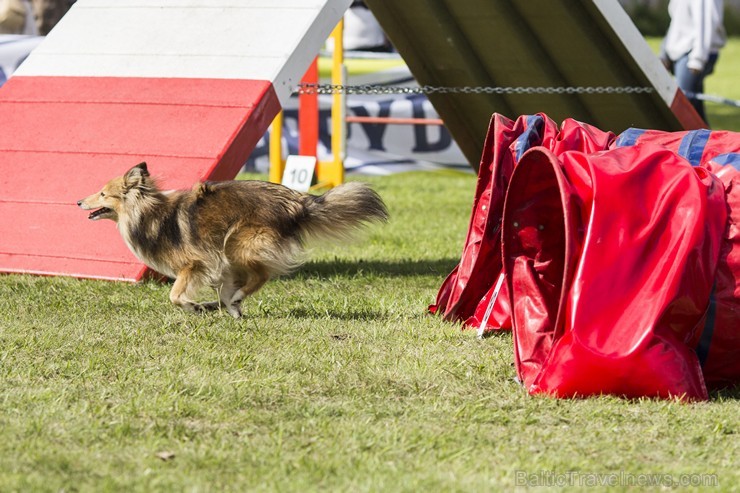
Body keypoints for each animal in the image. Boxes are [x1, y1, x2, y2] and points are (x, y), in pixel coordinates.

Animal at [76, 161, 390, 316]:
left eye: (103, 194)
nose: (78, 201)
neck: (148, 212)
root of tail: (297, 201)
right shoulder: (218, 267)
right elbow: (220, 292)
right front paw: (212, 307)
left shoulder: (195, 264)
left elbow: (175, 295)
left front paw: (194, 307)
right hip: (233, 253)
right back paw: (229, 305)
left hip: (239, 243)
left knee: (262, 275)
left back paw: (234, 299)